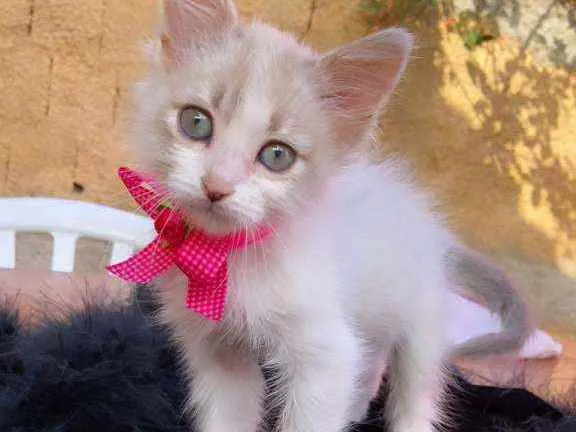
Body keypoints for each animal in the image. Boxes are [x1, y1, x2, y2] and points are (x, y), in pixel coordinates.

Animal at [127, 1, 531, 431]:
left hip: (421, 319)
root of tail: (436, 234)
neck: (228, 260)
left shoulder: (324, 354)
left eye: (277, 155)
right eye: (196, 122)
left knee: (414, 388)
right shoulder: (218, 349)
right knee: (371, 358)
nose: (216, 185)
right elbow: (229, 416)